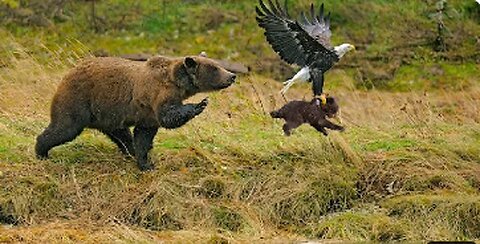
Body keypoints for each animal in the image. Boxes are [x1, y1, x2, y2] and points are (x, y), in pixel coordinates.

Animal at [35, 55, 236, 171]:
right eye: (215, 68)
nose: (232, 75)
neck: (178, 84)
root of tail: (67, 74)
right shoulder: (158, 94)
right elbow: (169, 116)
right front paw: (200, 104)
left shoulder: (147, 115)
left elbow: (143, 135)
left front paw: (145, 162)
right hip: (79, 100)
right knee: (65, 127)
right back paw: (41, 151)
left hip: (107, 114)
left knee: (121, 135)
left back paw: (128, 151)